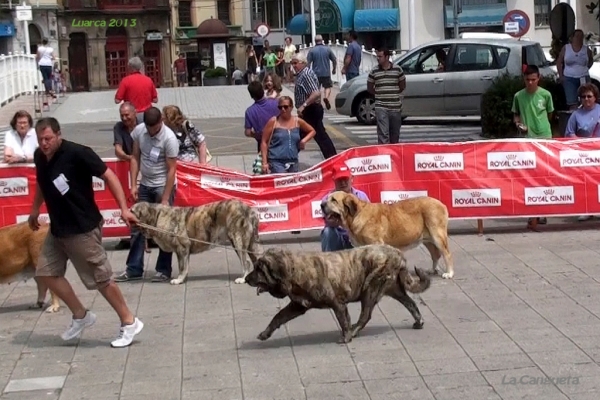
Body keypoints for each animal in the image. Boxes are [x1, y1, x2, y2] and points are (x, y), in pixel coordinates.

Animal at [245, 244, 432, 344]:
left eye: (258, 269)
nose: (246, 278)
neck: (294, 270)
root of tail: (397, 253)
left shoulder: (337, 303)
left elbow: (343, 321)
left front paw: (346, 336)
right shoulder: (297, 306)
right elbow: (278, 317)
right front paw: (265, 333)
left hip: (370, 289)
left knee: (365, 316)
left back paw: (355, 331)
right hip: (393, 289)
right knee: (411, 303)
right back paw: (419, 321)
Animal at [324, 192, 454, 280]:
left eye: (333, 200)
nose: (321, 205)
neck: (356, 214)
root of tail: (441, 203)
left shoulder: (376, 244)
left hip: (437, 236)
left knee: (447, 254)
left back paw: (449, 273)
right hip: (427, 239)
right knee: (435, 255)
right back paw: (432, 270)